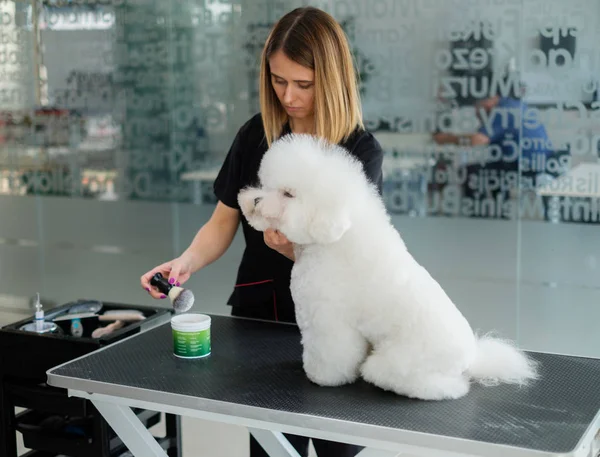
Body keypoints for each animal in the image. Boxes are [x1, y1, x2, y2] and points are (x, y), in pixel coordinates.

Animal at [236, 133, 540, 400]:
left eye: (288, 194)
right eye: (266, 185)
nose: (256, 201)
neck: (332, 241)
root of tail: (470, 360)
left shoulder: (329, 321)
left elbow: (331, 353)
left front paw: (321, 377)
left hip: (402, 362)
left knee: (436, 386)